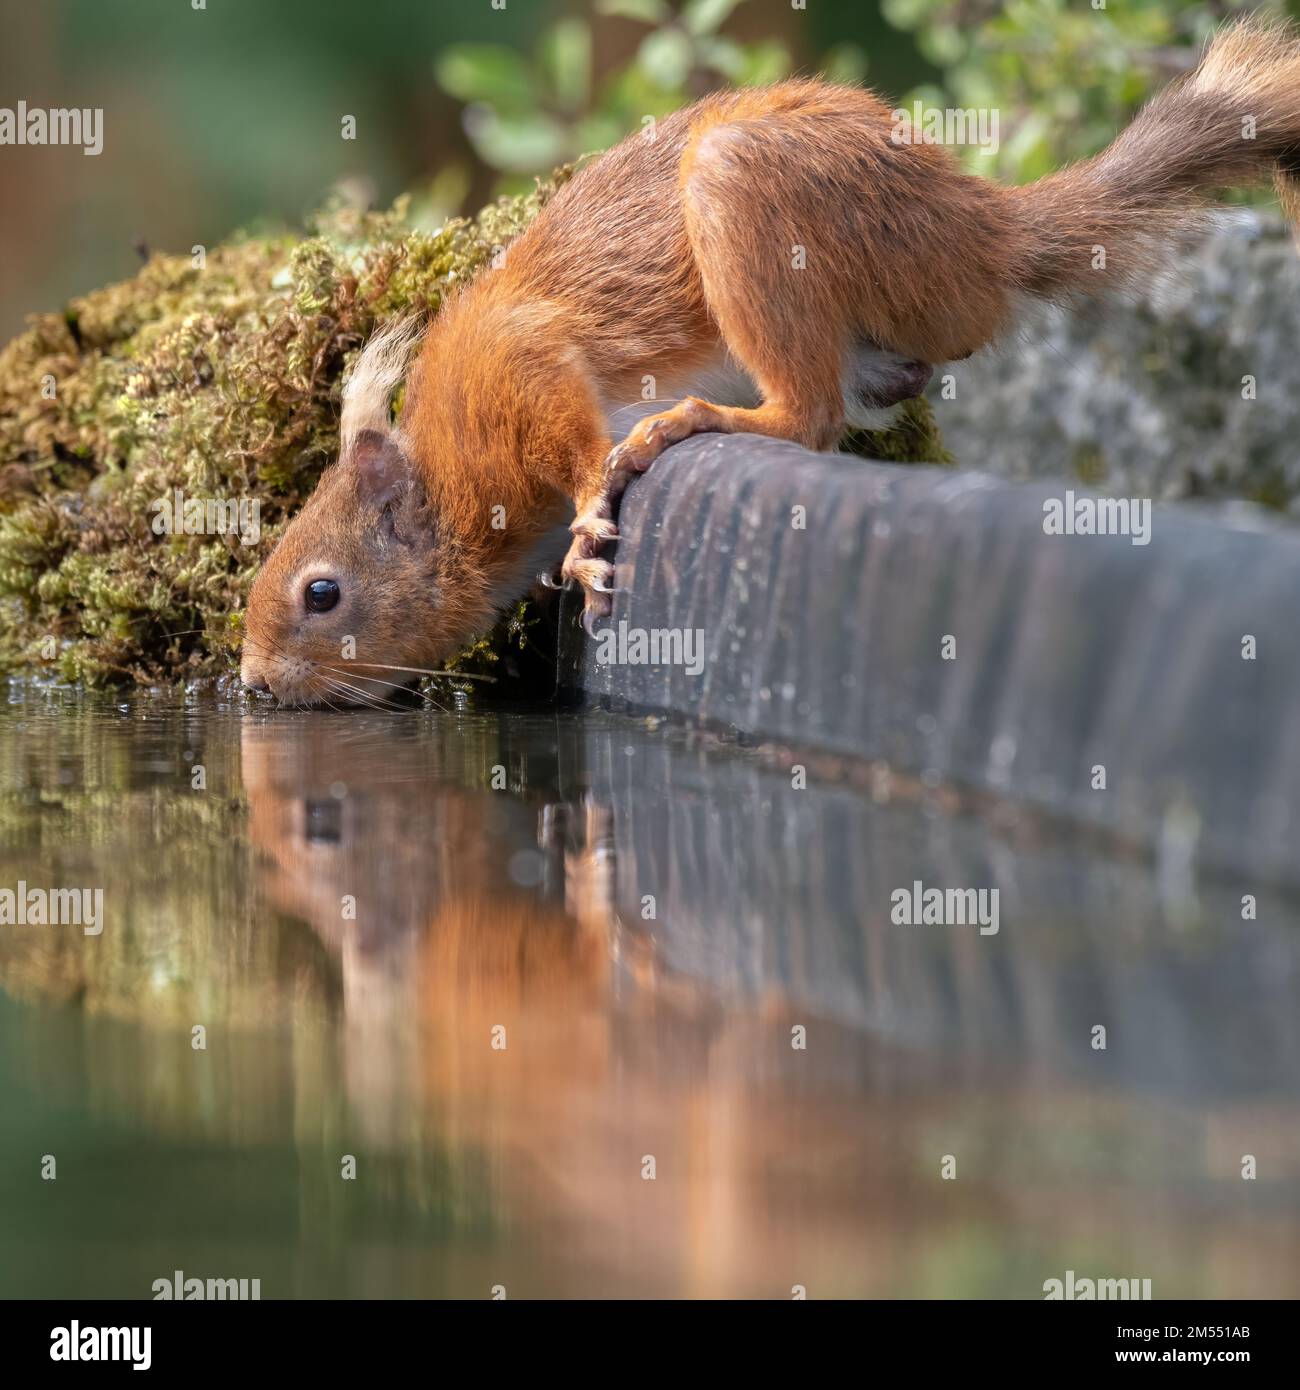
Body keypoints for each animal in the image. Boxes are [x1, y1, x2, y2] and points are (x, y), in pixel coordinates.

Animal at [241, 10, 1300, 706]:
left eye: (322, 593)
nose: (252, 681)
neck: (461, 489)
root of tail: (981, 232)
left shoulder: (518, 373)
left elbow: (574, 439)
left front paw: (585, 523)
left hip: (752, 192)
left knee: (809, 417)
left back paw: (698, 421)